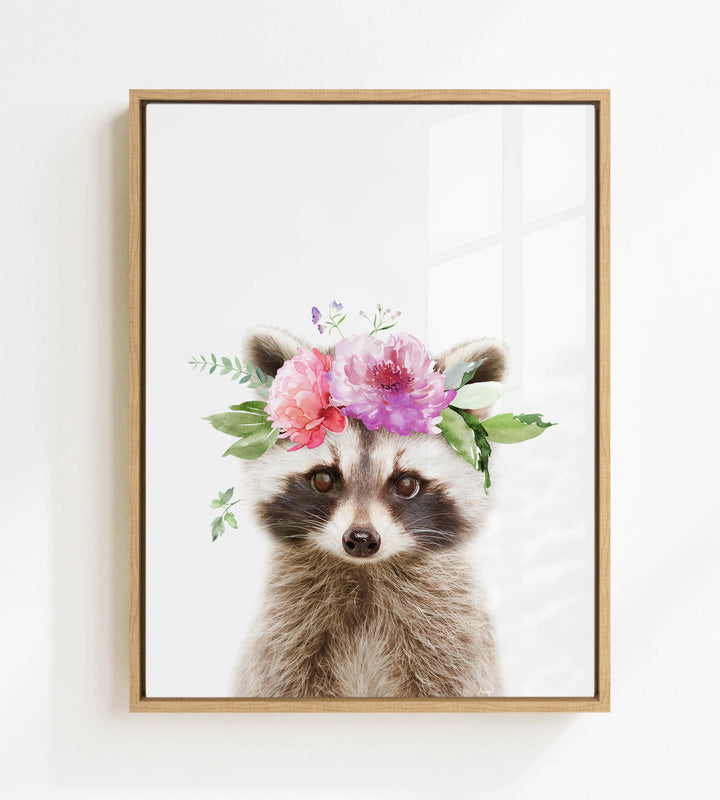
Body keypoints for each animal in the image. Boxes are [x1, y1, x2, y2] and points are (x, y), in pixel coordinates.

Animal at [234, 326, 506, 698]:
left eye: (406, 484)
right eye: (323, 479)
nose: (361, 539)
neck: (364, 574)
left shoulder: (451, 637)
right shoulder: (285, 634)